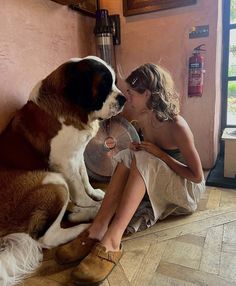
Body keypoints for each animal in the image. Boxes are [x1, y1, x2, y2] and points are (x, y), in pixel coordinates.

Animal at [0, 54, 126, 284]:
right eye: (104, 84)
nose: (124, 99)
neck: (73, 107)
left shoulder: (78, 154)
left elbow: (84, 177)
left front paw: (95, 194)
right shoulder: (64, 163)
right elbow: (78, 187)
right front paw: (93, 203)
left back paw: (82, 213)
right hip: (53, 182)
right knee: (47, 238)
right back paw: (89, 220)